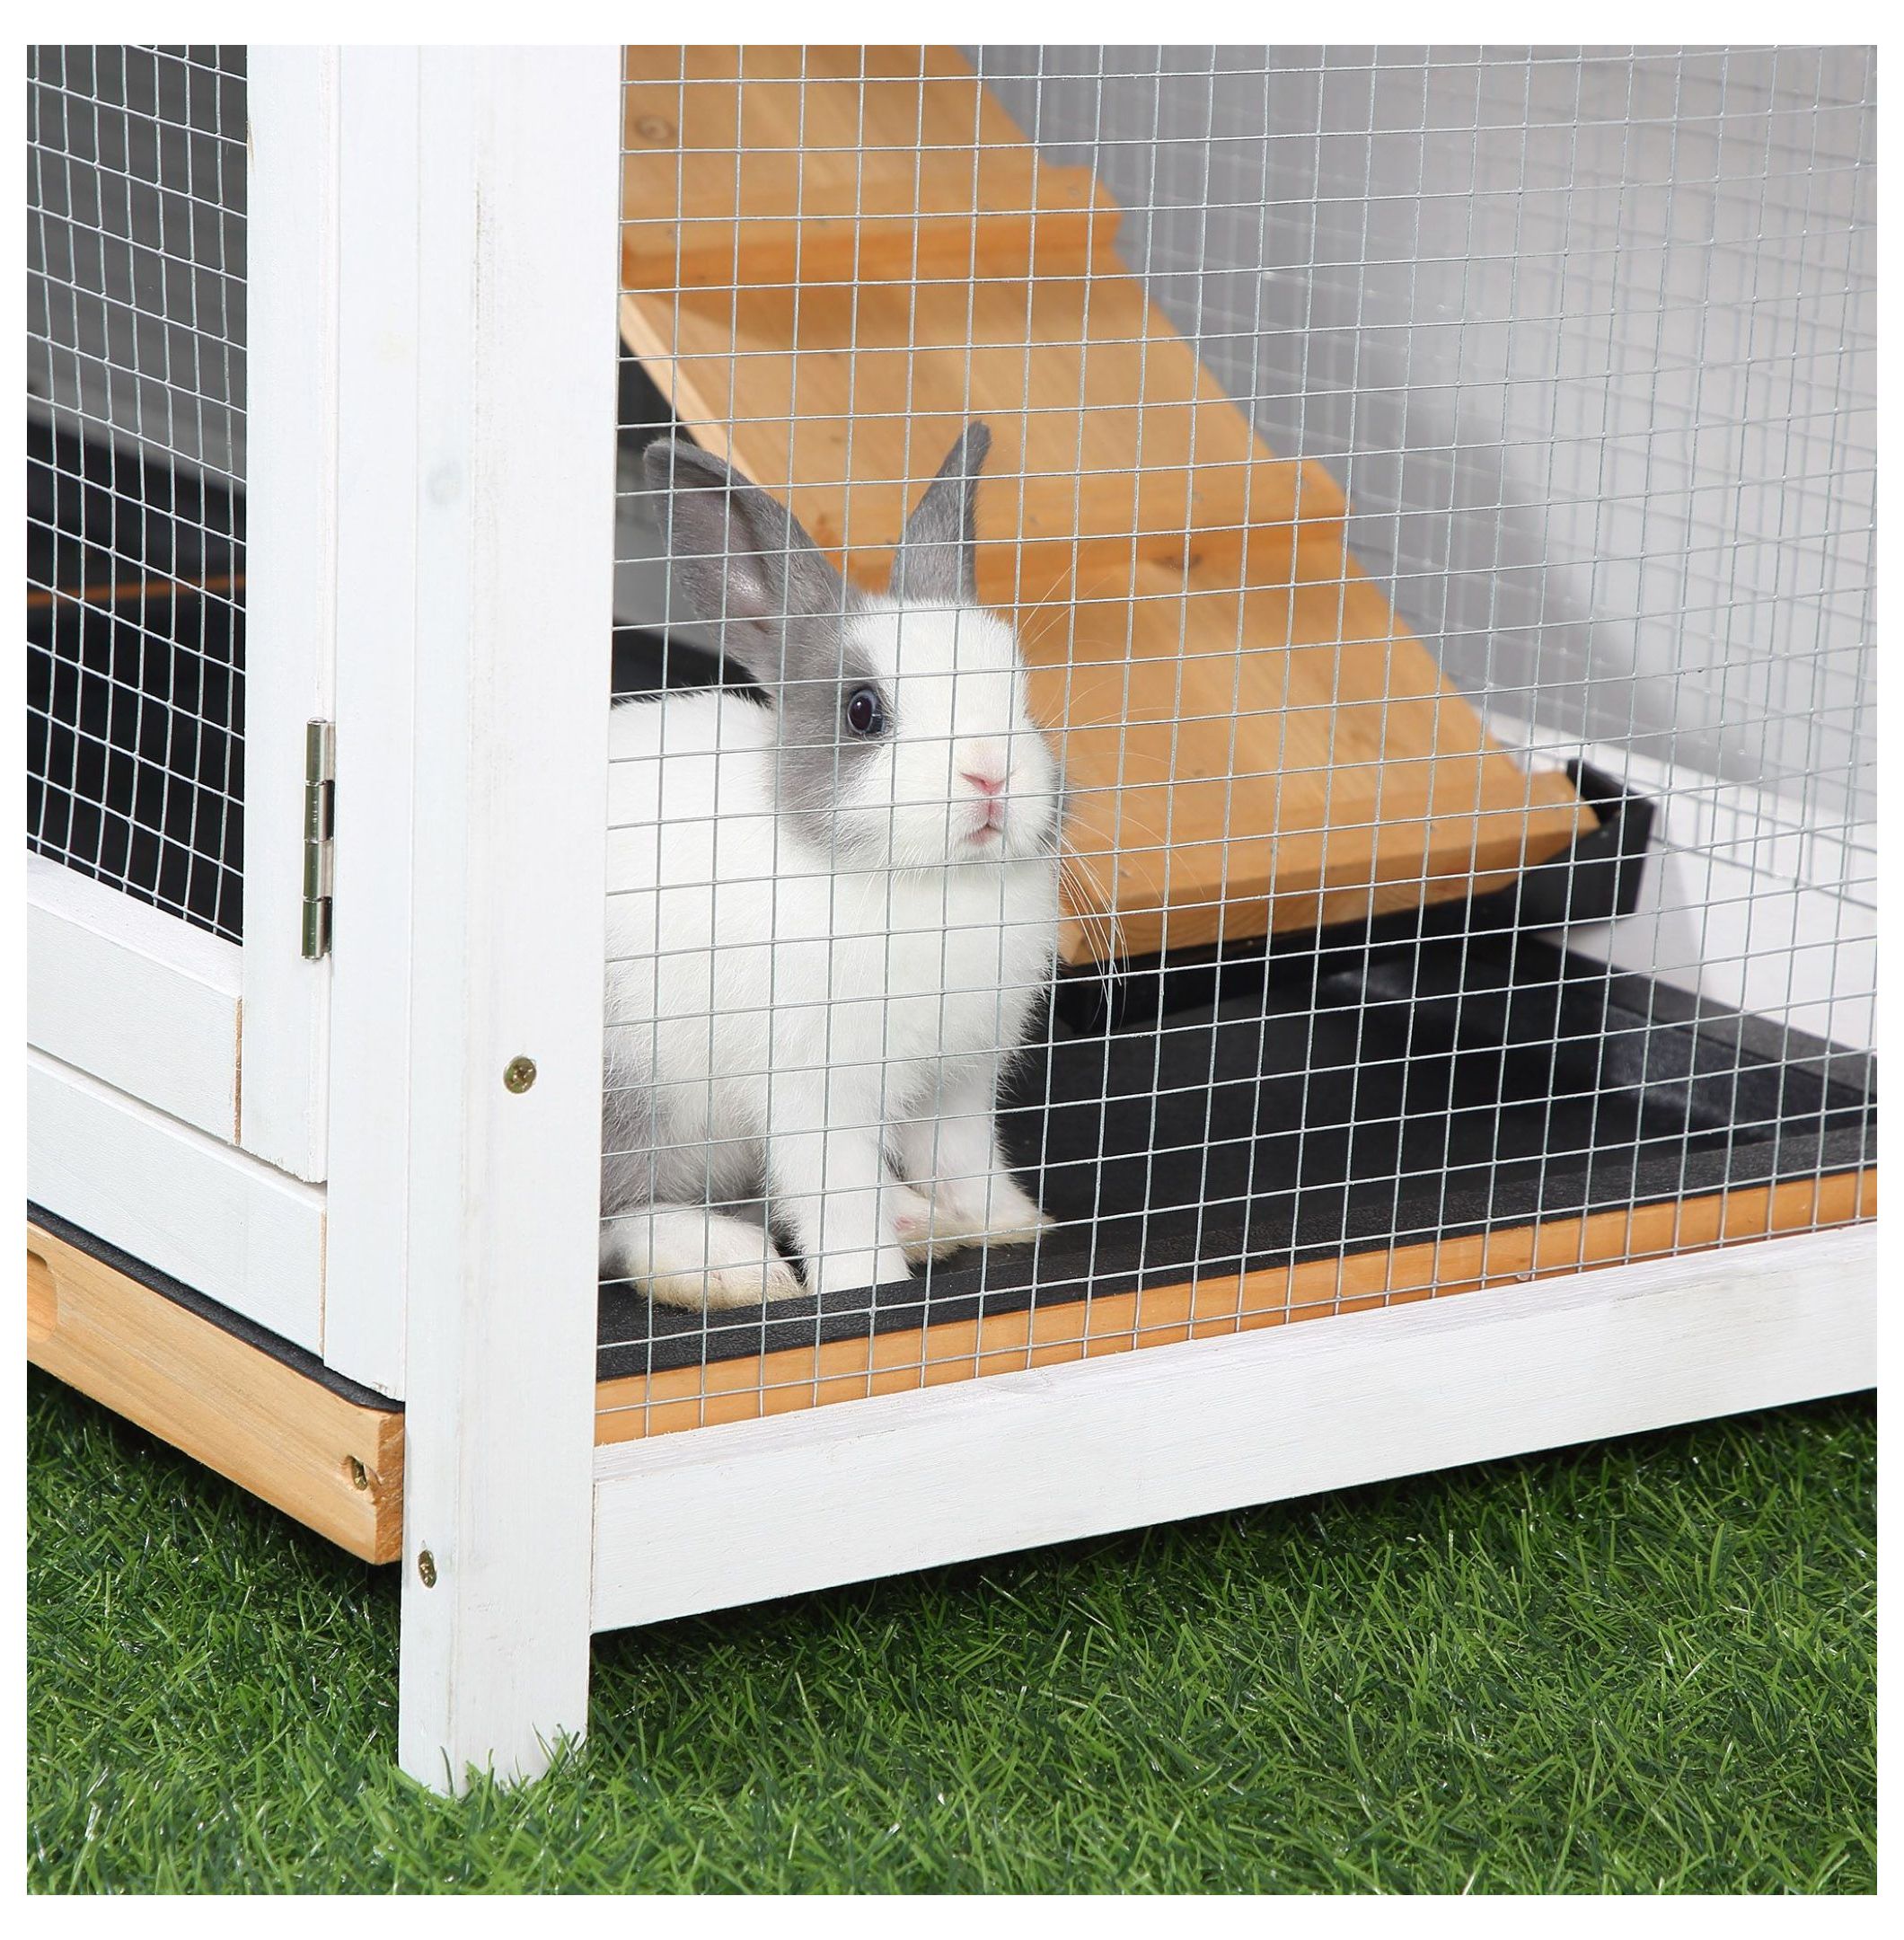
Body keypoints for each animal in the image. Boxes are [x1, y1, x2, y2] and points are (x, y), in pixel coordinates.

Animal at [600, 421, 1065, 1309]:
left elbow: (966, 1161)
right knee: (619, 1218)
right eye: (864, 711)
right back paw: (730, 1268)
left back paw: (924, 1224)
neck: (927, 885)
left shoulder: (958, 1081)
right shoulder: (817, 1094)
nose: (991, 775)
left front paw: (1010, 1226)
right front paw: (867, 1285)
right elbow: (838, 1201)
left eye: (1021, 696)